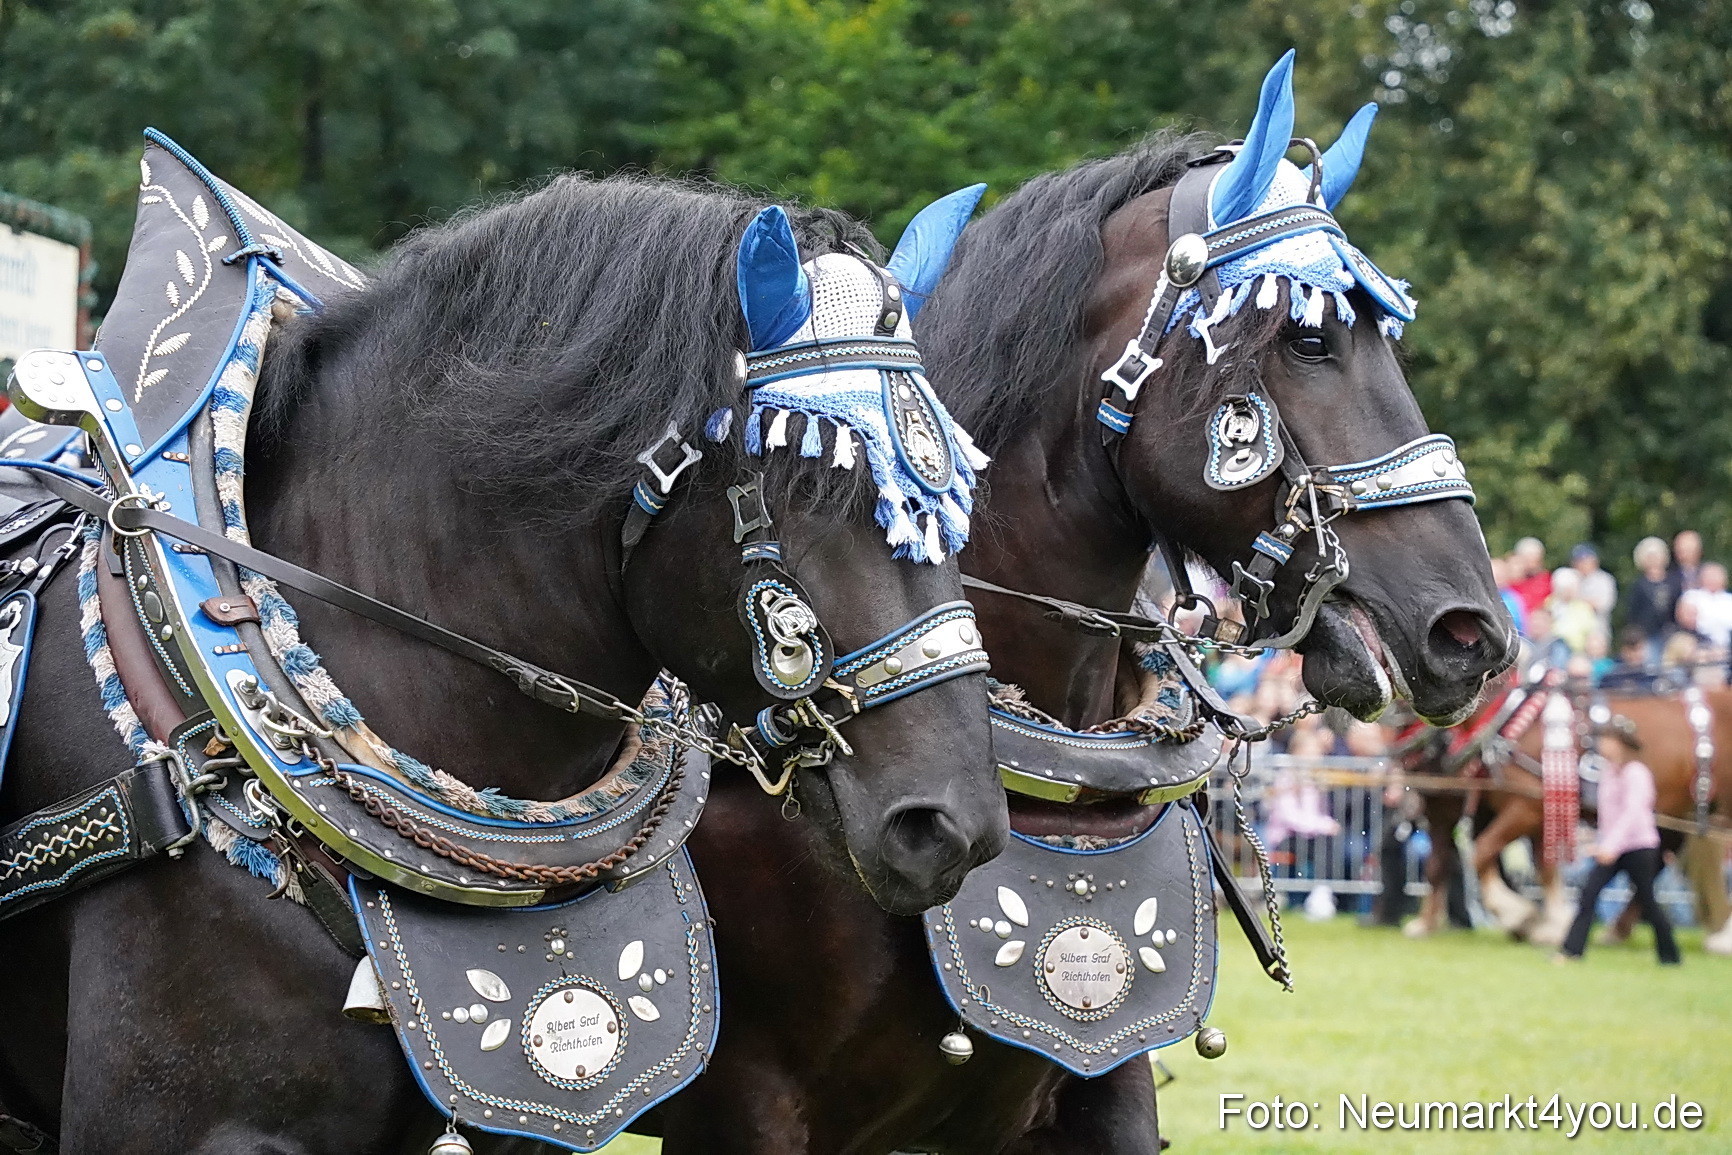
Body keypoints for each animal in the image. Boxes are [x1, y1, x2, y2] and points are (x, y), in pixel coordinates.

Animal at [1405, 682, 1732, 947]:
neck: (1514, 718)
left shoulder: (1524, 808)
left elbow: (1481, 853)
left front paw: (1521, 916)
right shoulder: (1532, 814)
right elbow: (1541, 867)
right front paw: (1550, 924)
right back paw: (1617, 931)